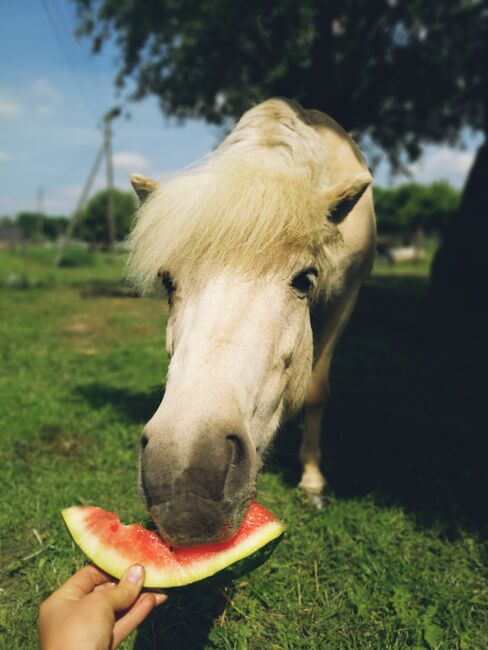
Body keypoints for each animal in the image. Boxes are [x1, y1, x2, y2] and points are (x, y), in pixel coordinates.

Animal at [127, 98, 376, 544]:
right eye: (168, 282)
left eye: (305, 279)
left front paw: (313, 481)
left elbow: (317, 389)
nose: (186, 484)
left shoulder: (346, 296)